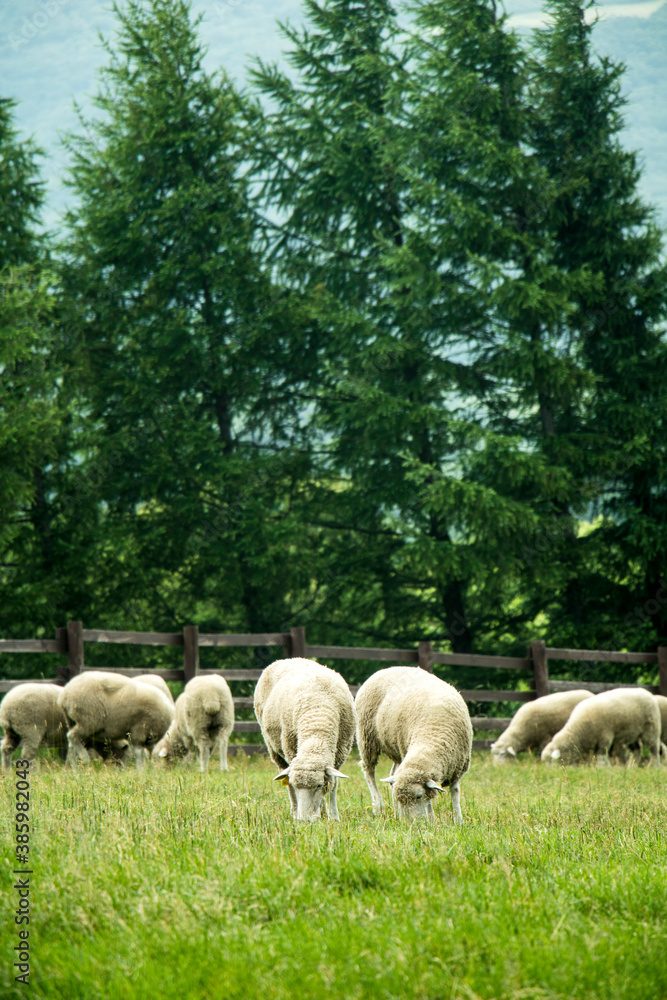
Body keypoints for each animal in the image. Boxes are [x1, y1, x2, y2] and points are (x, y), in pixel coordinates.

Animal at [253, 657, 355, 822]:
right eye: (297, 785)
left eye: (319, 785)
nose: (304, 820)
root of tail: (287, 659)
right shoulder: (290, 748)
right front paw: (316, 813)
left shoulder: (340, 753)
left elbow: (333, 786)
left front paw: (333, 816)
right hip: (274, 749)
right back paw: (296, 811)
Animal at [355, 666, 473, 824]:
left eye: (418, 796)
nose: (407, 823)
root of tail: (384, 669)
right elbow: (429, 802)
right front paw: (431, 819)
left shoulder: (457, 767)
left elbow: (455, 792)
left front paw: (458, 820)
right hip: (367, 736)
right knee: (369, 771)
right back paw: (378, 805)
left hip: (395, 750)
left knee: (392, 774)